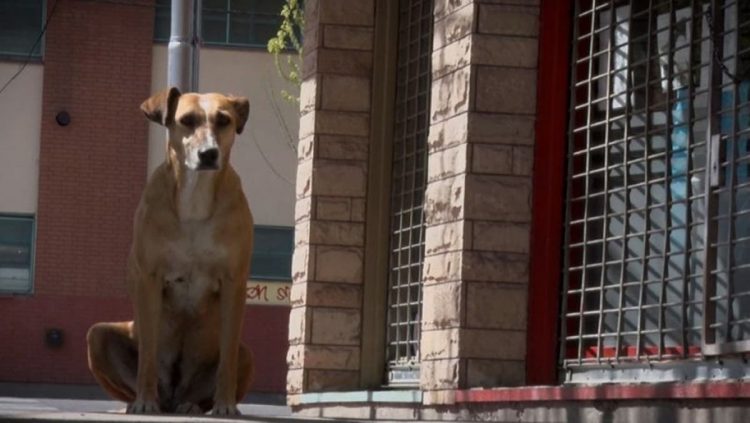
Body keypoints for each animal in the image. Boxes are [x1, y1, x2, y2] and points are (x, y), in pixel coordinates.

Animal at [86, 88, 254, 416]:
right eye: (187, 120)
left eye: (224, 120)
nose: (208, 153)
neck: (195, 197)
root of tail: (173, 396)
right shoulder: (149, 279)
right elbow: (148, 353)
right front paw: (144, 400)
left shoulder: (234, 282)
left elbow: (227, 357)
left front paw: (225, 405)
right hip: (97, 336)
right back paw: (138, 403)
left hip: (246, 353)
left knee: (226, 361)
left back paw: (193, 405)